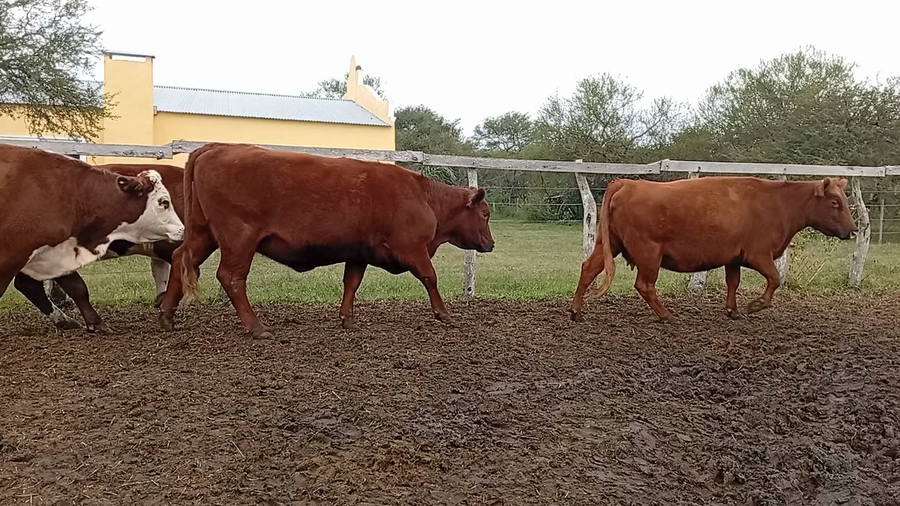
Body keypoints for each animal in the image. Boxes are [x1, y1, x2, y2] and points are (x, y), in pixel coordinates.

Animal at [159, 142, 495, 338]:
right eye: (486, 213)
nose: (491, 244)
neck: (424, 197)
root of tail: (215, 148)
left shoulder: (359, 252)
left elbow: (352, 283)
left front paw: (347, 319)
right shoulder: (412, 248)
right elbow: (430, 277)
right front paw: (444, 314)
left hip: (203, 234)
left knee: (180, 260)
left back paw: (167, 317)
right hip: (239, 238)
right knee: (231, 277)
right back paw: (256, 327)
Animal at [569, 176, 858, 322]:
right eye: (834, 202)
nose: (853, 230)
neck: (778, 203)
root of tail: (627, 182)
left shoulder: (734, 257)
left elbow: (733, 282)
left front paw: (733, 310)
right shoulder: (759, 254)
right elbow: (774, 279)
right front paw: (755, 305)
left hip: (609, 243)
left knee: (588, 269)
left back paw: (576, 311)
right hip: (648, 253)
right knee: (645, 285)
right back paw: (667, 316)